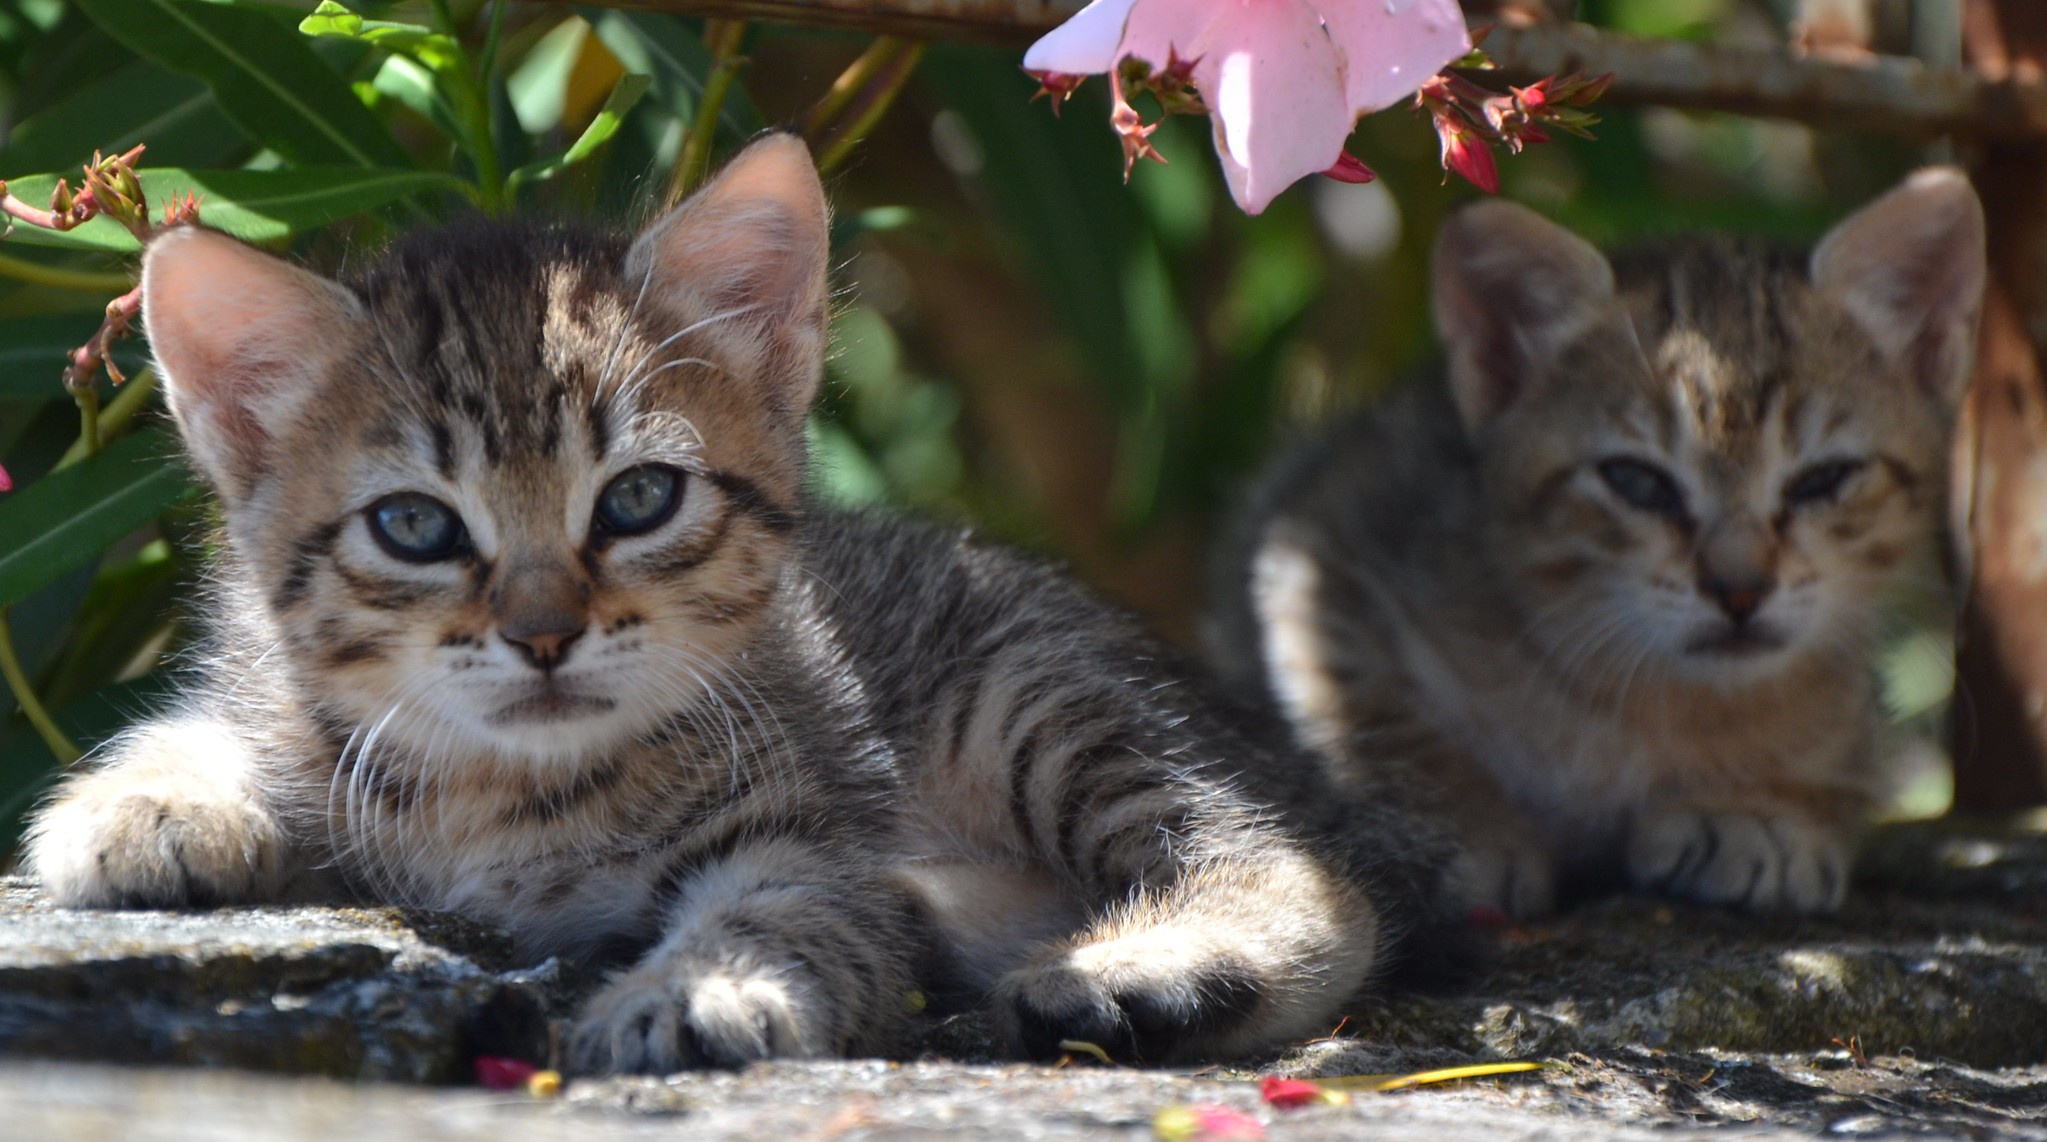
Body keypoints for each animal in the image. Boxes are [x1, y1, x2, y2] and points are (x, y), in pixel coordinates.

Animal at [1203, 167, 1973, 920]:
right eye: (1635, 481)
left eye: (1822, 480)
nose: (1739, 591)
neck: (1655, 701)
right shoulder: (1320, 537)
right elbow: (1374, 715)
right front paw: (1450, 824)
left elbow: (1836, 751)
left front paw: (1758, 809)